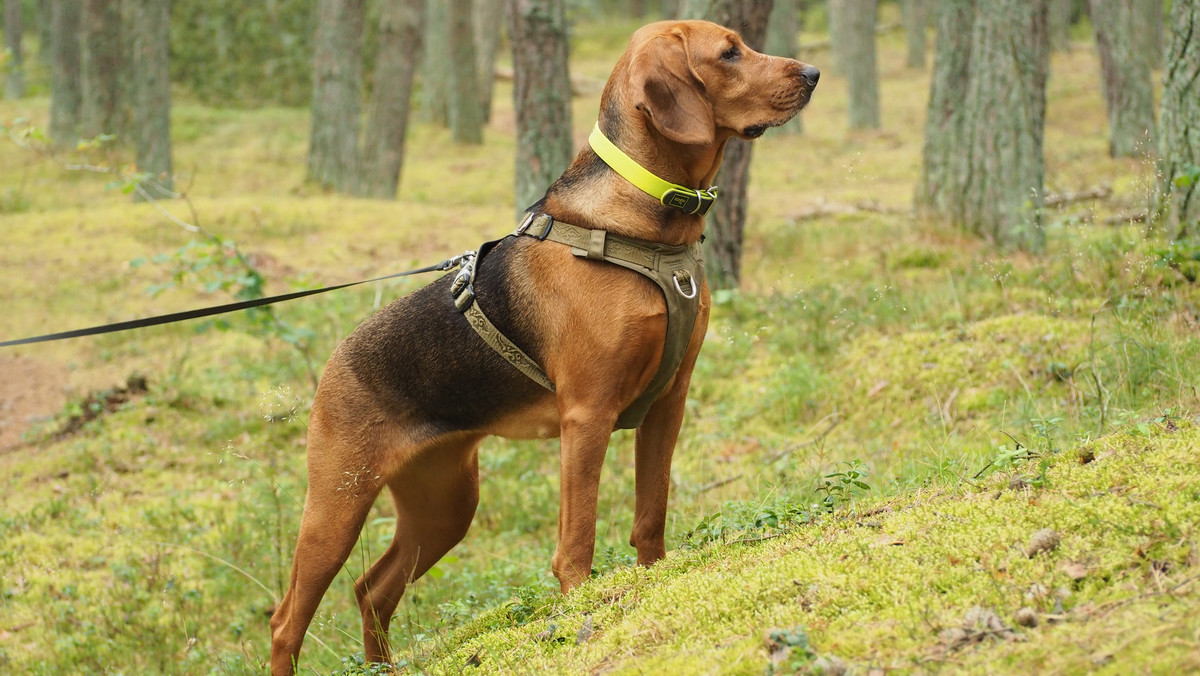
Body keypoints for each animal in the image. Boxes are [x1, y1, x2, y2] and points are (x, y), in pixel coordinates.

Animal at [270, 18, 816, 672]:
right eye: (729, 53)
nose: (813, 74)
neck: (648, 222)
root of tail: (335, 359)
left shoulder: (669, 402)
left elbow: (650, 515)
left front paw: (653, 581)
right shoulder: (588, 415)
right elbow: (577, 540)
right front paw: (584, 609)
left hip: (445, 505)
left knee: (371, 588)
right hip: (336, 507)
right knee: (286, 621)